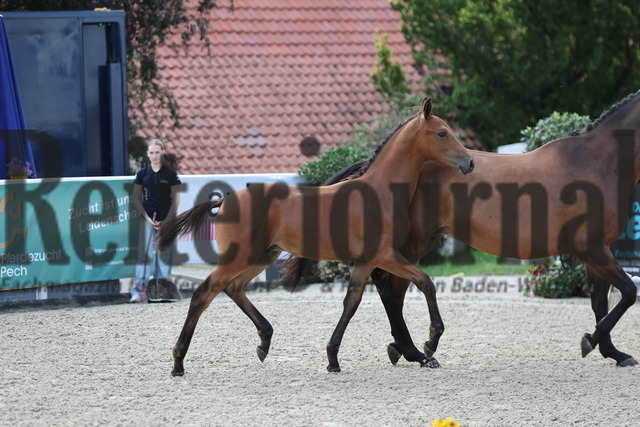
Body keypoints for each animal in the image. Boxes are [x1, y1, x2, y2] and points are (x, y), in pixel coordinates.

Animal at [157, 98, 475, 375]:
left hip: (264, 256)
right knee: (204, 293)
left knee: (234, 288)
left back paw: (264, 341)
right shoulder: (385, 256)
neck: (378, 193)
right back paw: (178, 362)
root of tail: (225, 200)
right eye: (442, 133)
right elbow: (426, 283)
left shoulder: (365, 261)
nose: (470, 162)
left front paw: (333, 359)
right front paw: (431, 343)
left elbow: (351, 303)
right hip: (240, 256)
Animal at [283, 90, 640, 368]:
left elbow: (601, 303)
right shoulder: (594, 249)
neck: (596, 162)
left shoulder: (595, 252)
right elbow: (627, 294)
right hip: (413, 245)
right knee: (393, 292)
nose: (468, 164)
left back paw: (404, 350)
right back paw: (418, 351)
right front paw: (593, 342)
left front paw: (612, 352)